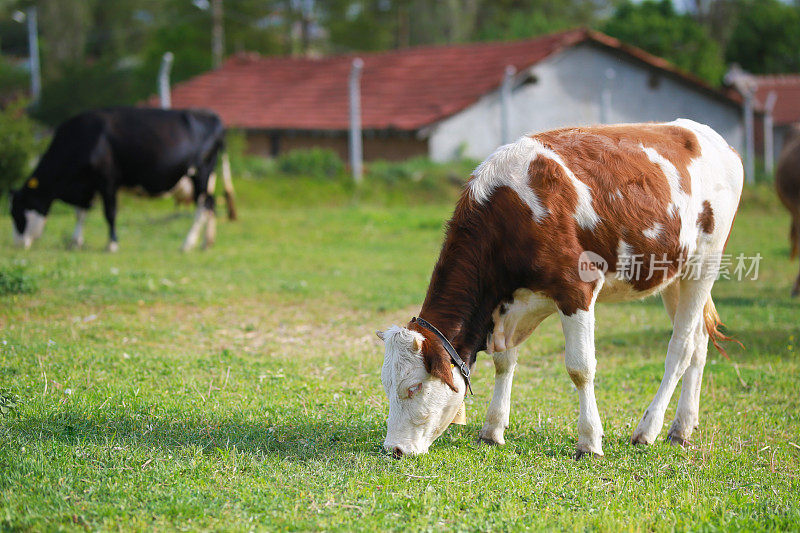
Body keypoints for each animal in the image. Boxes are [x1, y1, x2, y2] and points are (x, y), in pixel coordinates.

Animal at [9, 107, 236, 252]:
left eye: (16, 213)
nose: (17, 244)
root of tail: (213, 117)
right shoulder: (87, 186)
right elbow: (80, 213)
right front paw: (75, 242)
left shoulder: (108, 180)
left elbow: (109, 213)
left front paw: (112, 244)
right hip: (208, 178)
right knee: (211, 205)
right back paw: (206, 243)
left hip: (201, 173)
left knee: (203, 206)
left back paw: (187, 244)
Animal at [376, 119, 744, 458]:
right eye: (387, 386)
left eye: (413, 387)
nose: (394, 449)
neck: (511, 212)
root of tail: (708, 135)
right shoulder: (506, 306)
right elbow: (504, 362)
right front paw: (492, 429)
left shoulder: (577, 288)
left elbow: (580, 368)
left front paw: (590, 442)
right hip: (672, 274)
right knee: (699, 342)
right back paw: (682, 427)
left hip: (705, 262)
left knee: (681, 347)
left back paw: (648, 429)